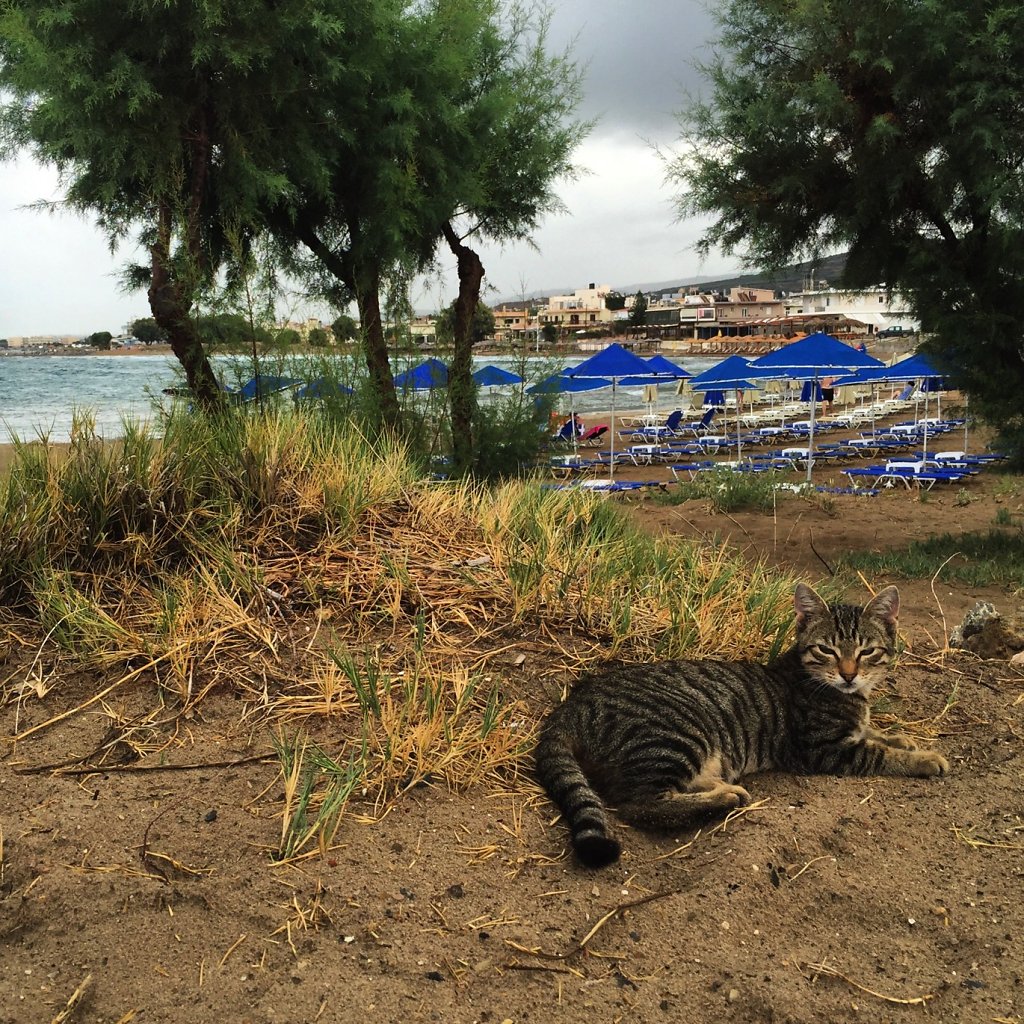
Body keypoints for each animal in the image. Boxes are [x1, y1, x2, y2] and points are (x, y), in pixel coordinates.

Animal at [540, 585, 946, 864]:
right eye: (826, 650)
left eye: (867, 651)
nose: (848, 675)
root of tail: (571, 704)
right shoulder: (824, 749)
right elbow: (879, 753)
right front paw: (924, 759)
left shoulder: (854, 728)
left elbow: (877, 732)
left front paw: (904, 739)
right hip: (677, 734)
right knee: (639, 804)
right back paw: (724, 798)